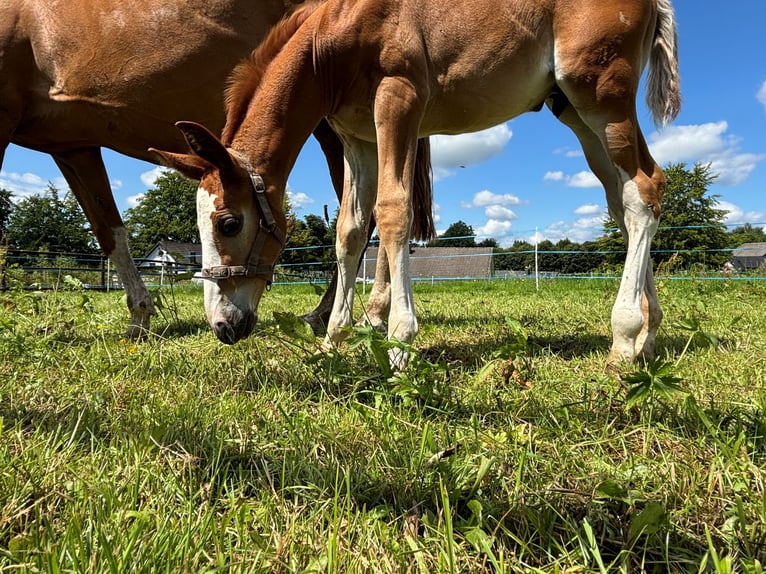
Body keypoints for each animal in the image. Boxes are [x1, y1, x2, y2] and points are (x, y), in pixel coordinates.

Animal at [1, 1, 432, 338]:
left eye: (229, 225)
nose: (223, 328)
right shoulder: (75, 146)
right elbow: (109, 230)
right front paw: (140, 316)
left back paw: (352, 315)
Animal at [158, 0, 684, 368]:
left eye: (228, 223)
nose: (222, 326)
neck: (333, 41)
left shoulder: (399, 100)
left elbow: (393, 212)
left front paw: (400, 342)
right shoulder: (356, 138)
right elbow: (349, 231)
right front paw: (333, 341)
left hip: (601, 94)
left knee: (646, 189)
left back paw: (624, 337)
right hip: (574, 110)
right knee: (623, 202)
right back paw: (648, 335)